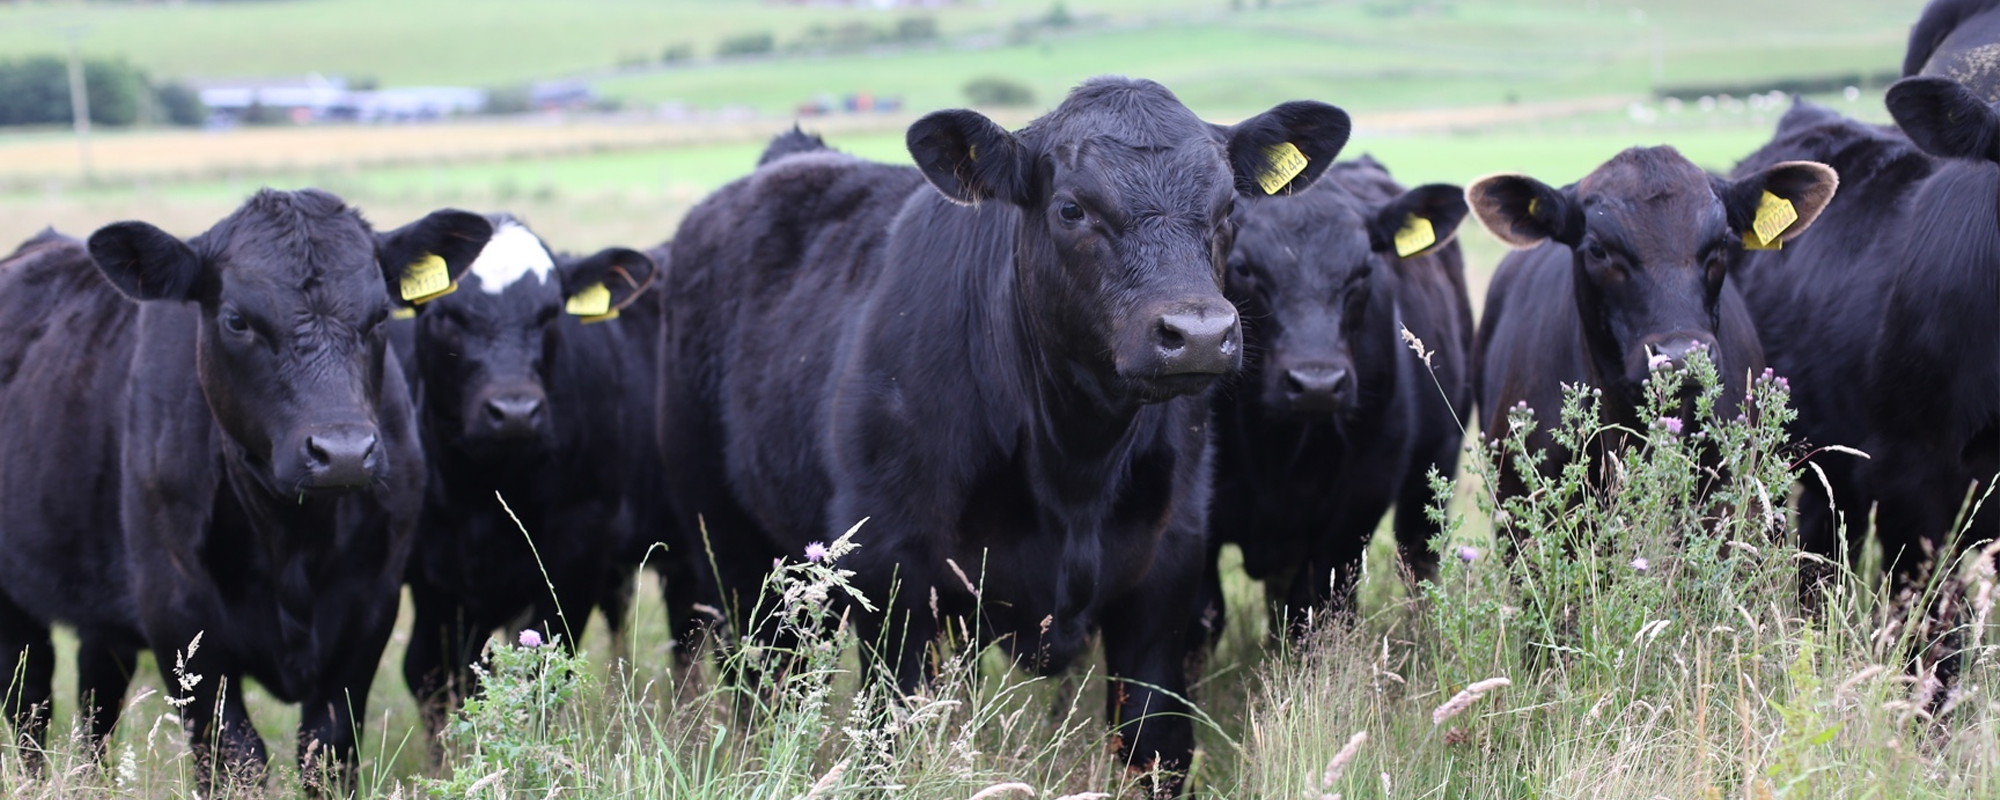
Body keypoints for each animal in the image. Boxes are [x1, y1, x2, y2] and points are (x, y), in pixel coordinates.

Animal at [0, 190, 490, 791]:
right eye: (236, 320)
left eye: (379, 316)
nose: (343, 452)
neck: (291, 538)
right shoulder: (178, 613)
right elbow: (237, 758)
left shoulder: (370, 607)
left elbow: (328, 749)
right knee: (30, 701)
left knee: (97, 699)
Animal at [397, 214, 659, 743]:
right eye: (444, 316)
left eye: (550, 314)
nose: (514, 411)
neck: (485, 494)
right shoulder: (434, 582)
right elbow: (434, 678)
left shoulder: (577, 554)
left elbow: (545, 671)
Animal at [657, 77, 1351, 795]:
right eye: (1072, 208)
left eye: (1229, 205)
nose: (1200, 333)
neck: (1075, 464)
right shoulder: (891, 575)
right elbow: (889, 744)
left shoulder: (1167, 572)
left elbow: (1156, 745)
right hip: (732, 551)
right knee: (764, 684)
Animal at [1206, 155, 1473, 637]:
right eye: (1244, 268)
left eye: (1365, 270)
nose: (1317, 383)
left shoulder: (1361, 497)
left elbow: (1316, 606)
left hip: (1434, 469)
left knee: (1418, 561)